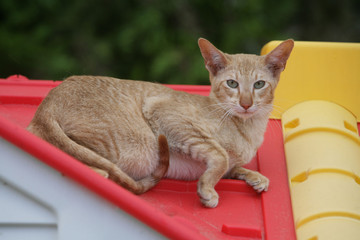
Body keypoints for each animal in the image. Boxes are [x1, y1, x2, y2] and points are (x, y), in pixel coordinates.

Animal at [27, 38, 292, 207]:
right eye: (232, 84)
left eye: (259, 84)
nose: (246, 104)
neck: (249, 129)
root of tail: (48, 101)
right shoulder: (164, 112)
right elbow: (220, 157)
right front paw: (207, 190)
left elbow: (232, 166)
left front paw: (255, 176)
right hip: (136, 146)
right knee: (77, 154)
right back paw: (98, 171)